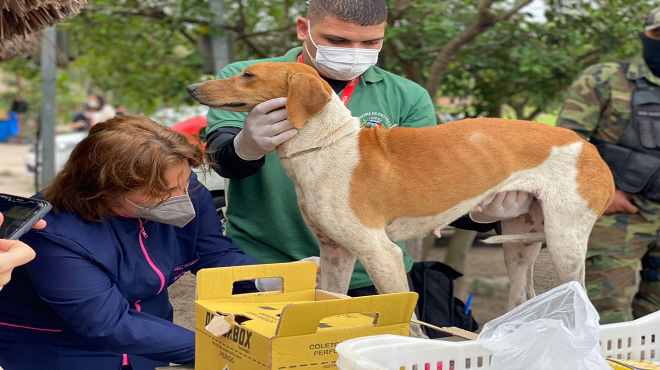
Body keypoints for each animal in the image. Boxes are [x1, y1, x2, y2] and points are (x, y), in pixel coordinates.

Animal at [188, 61, 616, 316]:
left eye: (248, 75)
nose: (193, 88)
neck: (327, 146)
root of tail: (590, 148)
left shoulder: (382, 254)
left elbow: (407, 323)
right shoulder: (335, 253)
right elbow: (333, 302)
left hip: (564, 242)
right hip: (521, 243)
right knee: (523, 297)